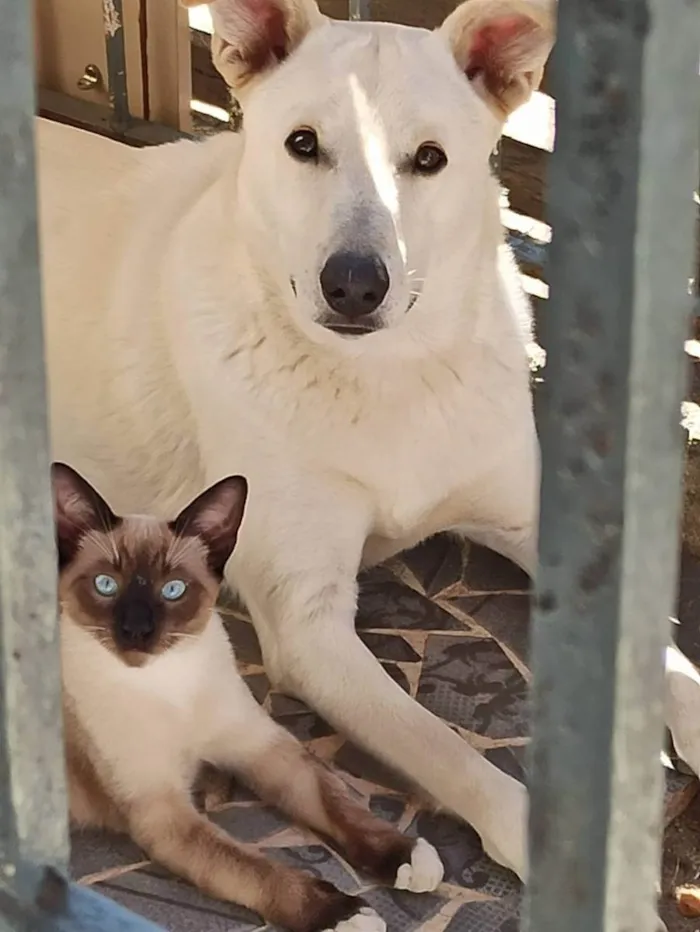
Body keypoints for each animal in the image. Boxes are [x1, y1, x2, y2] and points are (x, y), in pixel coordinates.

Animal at [37, 0, 700, 888]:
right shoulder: (309, 625)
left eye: (429, 159)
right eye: (303, 144)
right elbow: (443, 746)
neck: (388, 377)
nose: (354, 283)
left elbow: (667, 658)